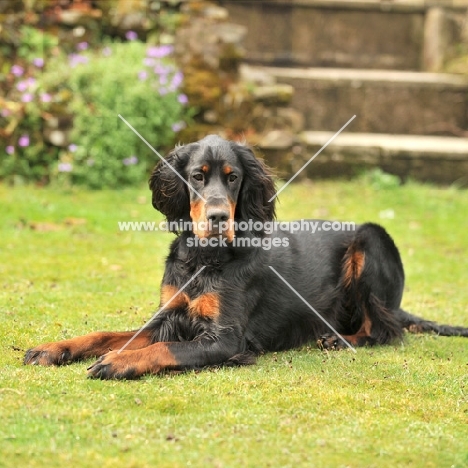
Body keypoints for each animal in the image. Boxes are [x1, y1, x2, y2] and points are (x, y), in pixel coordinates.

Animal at [24, 133, 468, 378]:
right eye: (197, 176)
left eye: (234, 177)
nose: (219, 217)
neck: (205, 258)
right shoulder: (170, 316)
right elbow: (107, 335)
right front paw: (55, 348)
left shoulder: (226, 338)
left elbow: (163, 349)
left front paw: (116, 362)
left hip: (372, 238)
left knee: (385, 330)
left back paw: (338, 339)